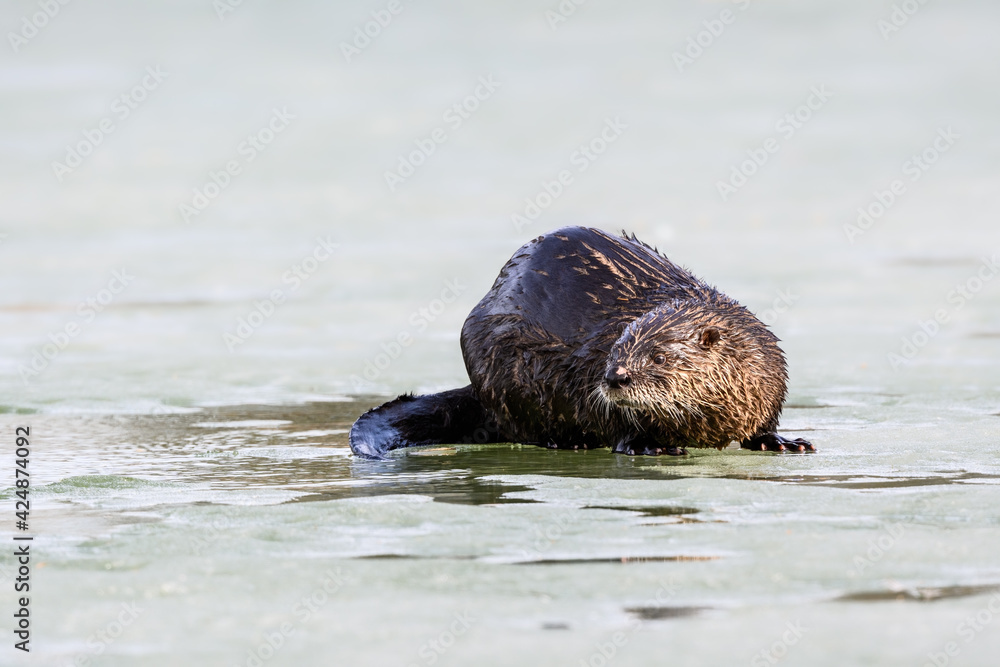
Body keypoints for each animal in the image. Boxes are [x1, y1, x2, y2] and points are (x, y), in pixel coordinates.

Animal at [349, 226, 813, 459]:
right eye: (614, 353)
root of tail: (479, 391)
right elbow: (620, 423)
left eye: (658, 356)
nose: (615, 378)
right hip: (502, 375)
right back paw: (570, 440)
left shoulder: (769, 374)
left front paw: (783, 441)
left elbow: (765, 423)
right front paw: (651, 445)